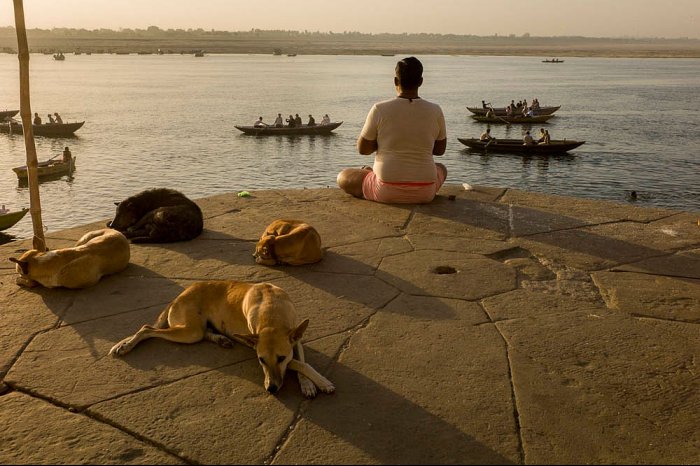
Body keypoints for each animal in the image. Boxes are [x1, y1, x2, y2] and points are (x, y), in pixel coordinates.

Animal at [110, 278, 336, 398]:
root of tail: (179, 296)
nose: (271, 389)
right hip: (190, 331)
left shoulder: (296, 340)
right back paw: (126, 345)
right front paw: (321, 382)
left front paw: (309, 384)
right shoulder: (258, 346)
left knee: (204, 332)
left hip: (195, 329)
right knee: (147, 328)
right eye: (261, 360)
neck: (271, 312)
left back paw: (222, 339)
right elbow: (298, 363)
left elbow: (300, 361)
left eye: (280, 358)